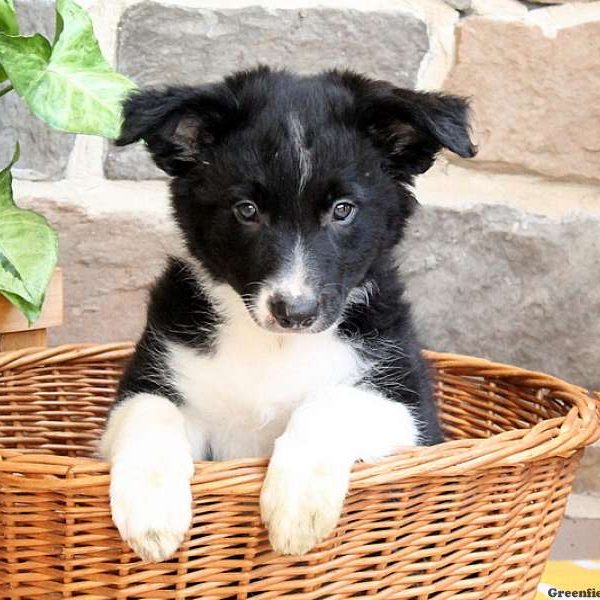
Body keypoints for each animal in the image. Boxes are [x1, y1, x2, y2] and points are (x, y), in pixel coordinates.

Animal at [99, 67, 474, 564]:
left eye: (342, 210)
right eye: (247, 210)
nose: (295, 312)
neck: (275, 347)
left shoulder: (413, 413)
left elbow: (330, 403)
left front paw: (296, 509)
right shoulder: (153, 377)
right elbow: (149, 411)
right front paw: (151, 514)